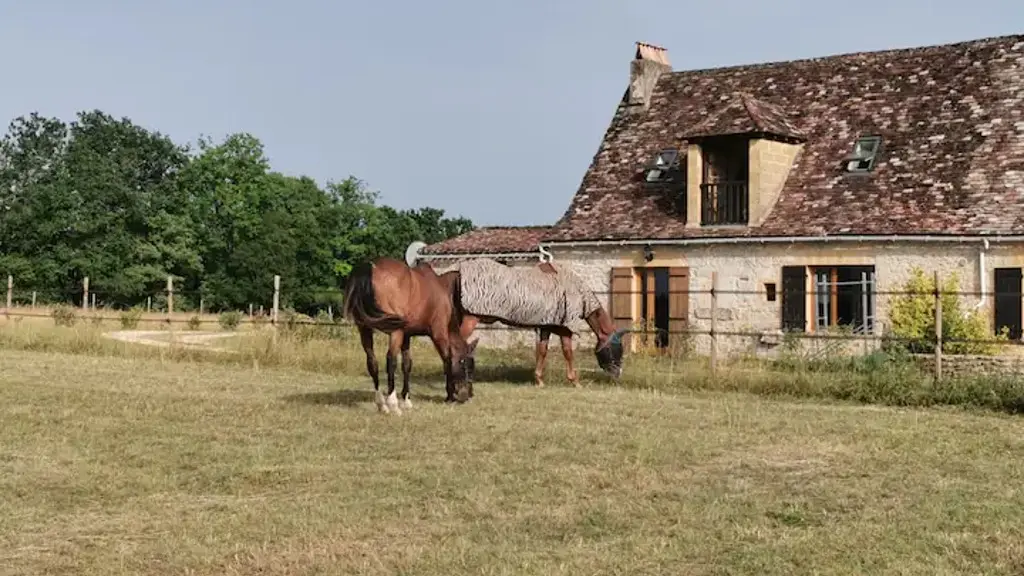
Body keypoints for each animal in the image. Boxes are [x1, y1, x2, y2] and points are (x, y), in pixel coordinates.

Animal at [432, 259, 622, 385]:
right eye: (617, 348)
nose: (618, 373)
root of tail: (457, 270)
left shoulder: (547, 326)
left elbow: (542, 351)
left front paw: (539, 380)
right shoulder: (565, 328)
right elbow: (568, 352)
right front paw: (575, 381)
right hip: (470, 319)